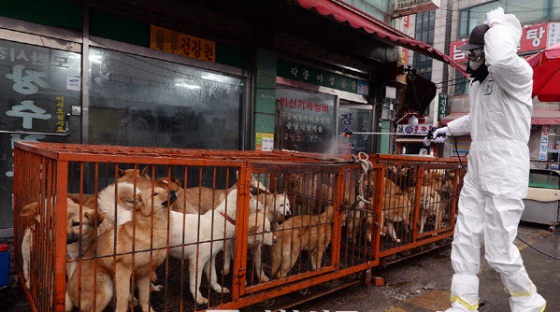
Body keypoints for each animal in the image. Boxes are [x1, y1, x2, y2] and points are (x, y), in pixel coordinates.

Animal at [68, 183, 177, 312]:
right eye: (155, 194)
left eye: (164, 189)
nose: (173, 191)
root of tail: (70, 294)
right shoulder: (123, 270)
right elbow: (123, 298)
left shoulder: (144, 273)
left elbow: (145, 298)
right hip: (106, 288)